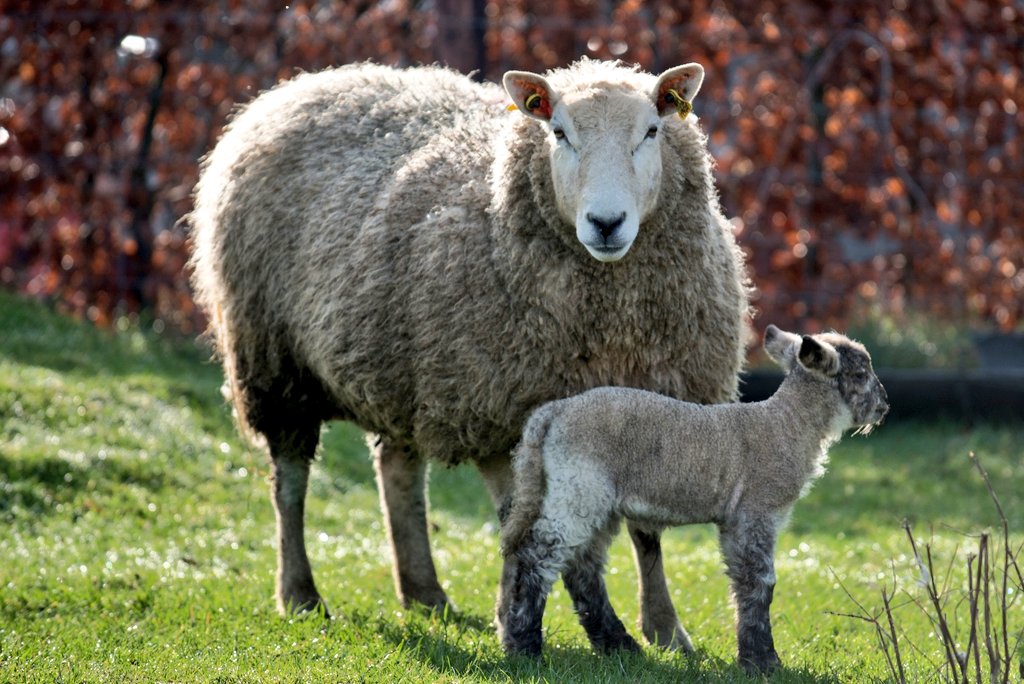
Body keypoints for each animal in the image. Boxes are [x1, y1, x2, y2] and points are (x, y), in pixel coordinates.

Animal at [188, 58, 750, 649]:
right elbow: (530, 524)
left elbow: (646, 532)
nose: (606, 223)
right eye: (559, 133)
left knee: (398, 471)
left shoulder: (657, 405)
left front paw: (665, 630)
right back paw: (300, 594)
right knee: (290, 481)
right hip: (272, 361)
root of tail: (300, 85)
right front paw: (535, 621)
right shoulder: (506, 409)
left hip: (402, 367)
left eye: (652, 130)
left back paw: (424, 592)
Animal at [497, 325, 889, 674]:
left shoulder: (734, 521)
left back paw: (616, 647)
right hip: (579, 488)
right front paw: (763, 664)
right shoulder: (757, 511)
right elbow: (760, 582)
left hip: (587, 498)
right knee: (537, 558)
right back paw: (525, 648)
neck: (786, 426)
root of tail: (549, 416)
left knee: (579, 567)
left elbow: (742, 581)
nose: (885, 405)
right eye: (859, 373)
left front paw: (752, 657)